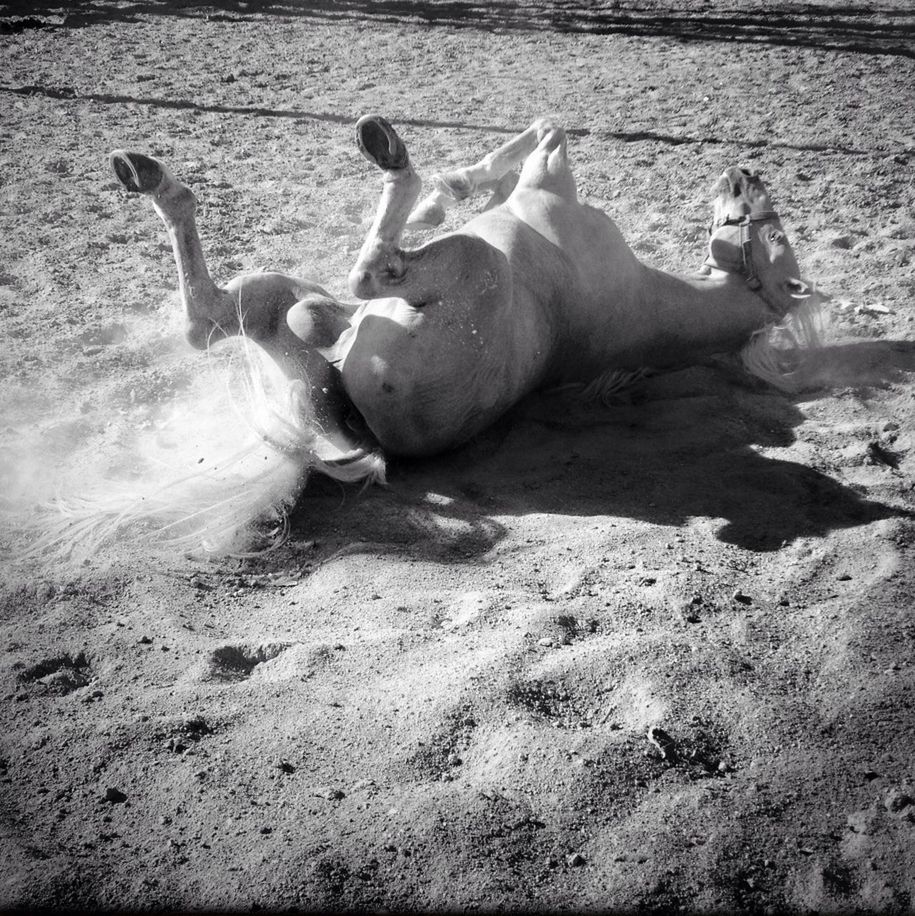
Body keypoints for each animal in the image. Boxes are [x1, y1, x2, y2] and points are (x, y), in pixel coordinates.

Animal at [96, 119, 820, 556]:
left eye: (775, 233)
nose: (746, 174)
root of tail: (354, 432)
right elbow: (542, 129)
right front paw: (457, 190)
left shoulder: (548, 181)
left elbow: (548, 129)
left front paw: (445, 191)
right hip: (288, 327)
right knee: (218, 320)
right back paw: (148, 175)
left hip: (458, 266)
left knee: (356, 277)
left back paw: (389, 156)